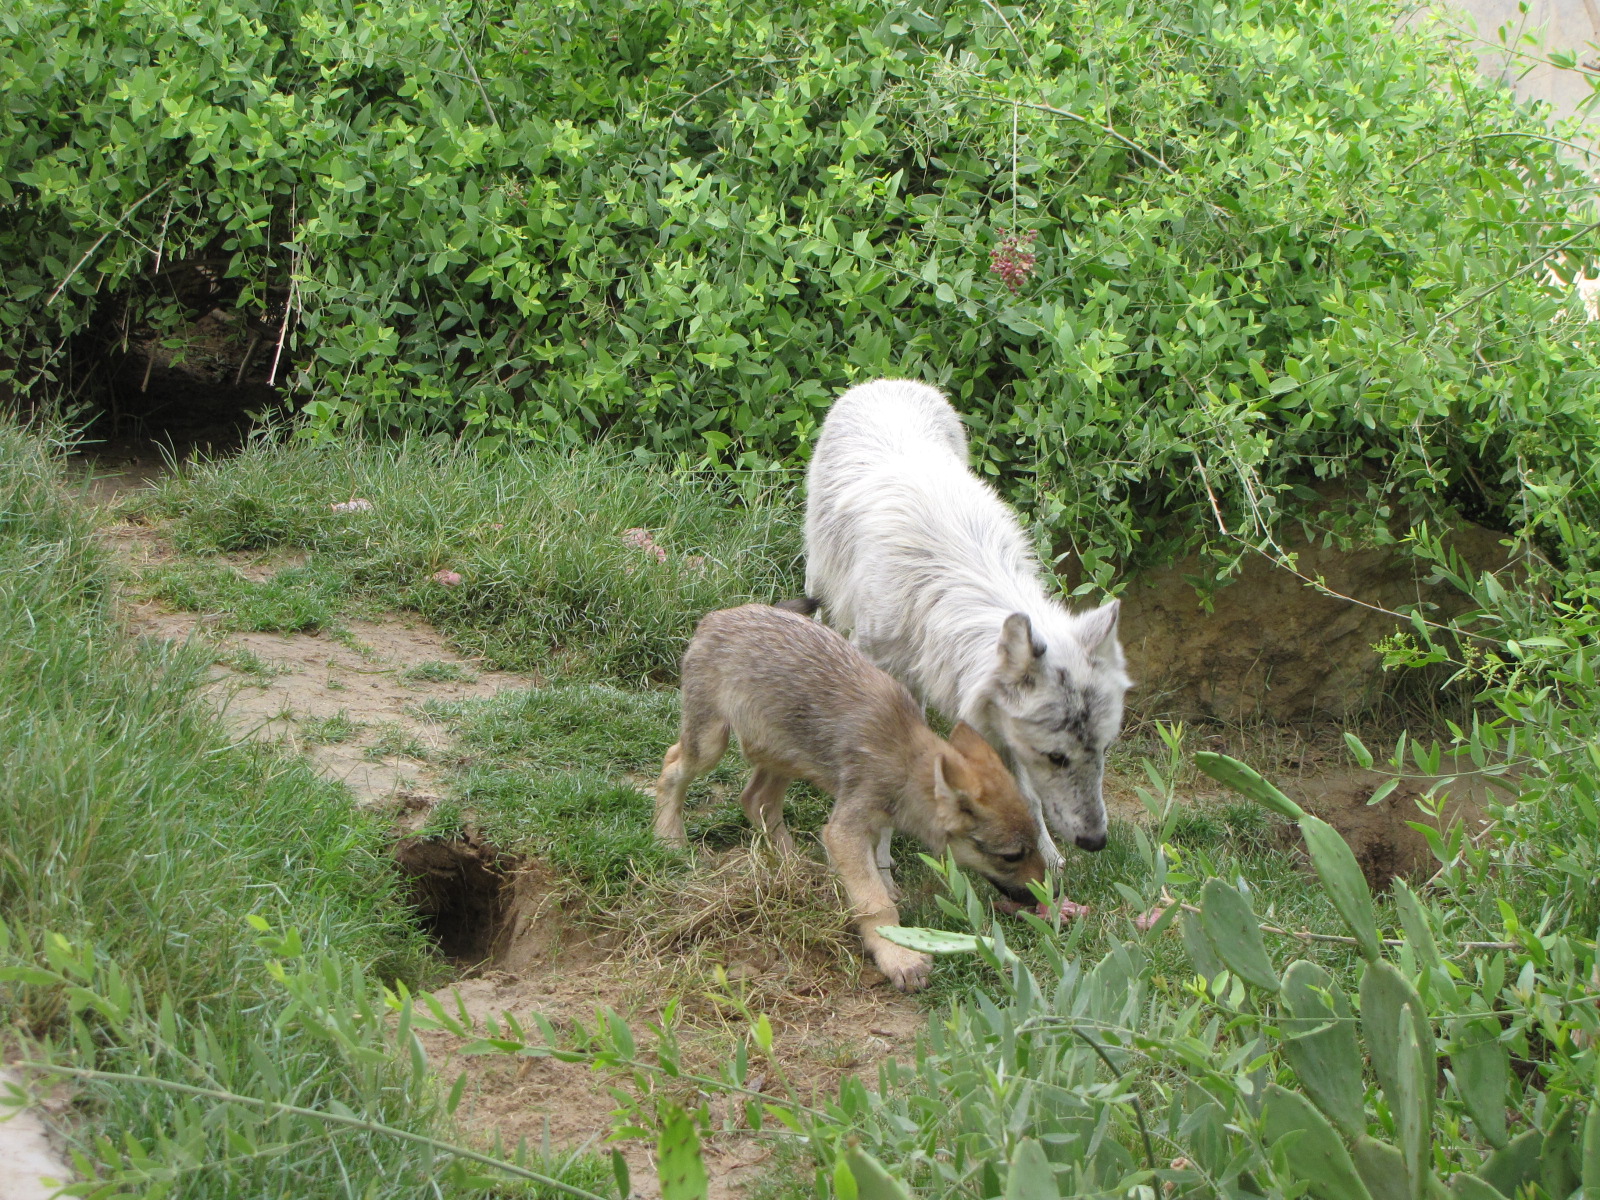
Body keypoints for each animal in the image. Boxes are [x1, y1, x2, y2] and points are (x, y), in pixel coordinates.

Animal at [652, 601, 1045, 992]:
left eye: (1036, 846)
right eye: (1011, 856)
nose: (1049, 897)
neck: (904, 759)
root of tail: (717, 616)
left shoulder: (865, 824)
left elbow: (877, 874)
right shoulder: (845, 829)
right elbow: (876, 903)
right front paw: (898, 957)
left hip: (787, 756)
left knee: (755, 800)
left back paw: (798, 870)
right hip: (710, 745)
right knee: (671, 767)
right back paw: (669, 838)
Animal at [804, 378, 1131, 871]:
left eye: (1105, 749)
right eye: (1056, 757)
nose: (1095, 841)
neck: (946, 587)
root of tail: (887, 381)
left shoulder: (990, 716)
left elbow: (1025, 797)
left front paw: (1047, 858)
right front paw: (877, 852)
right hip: (818, 565)